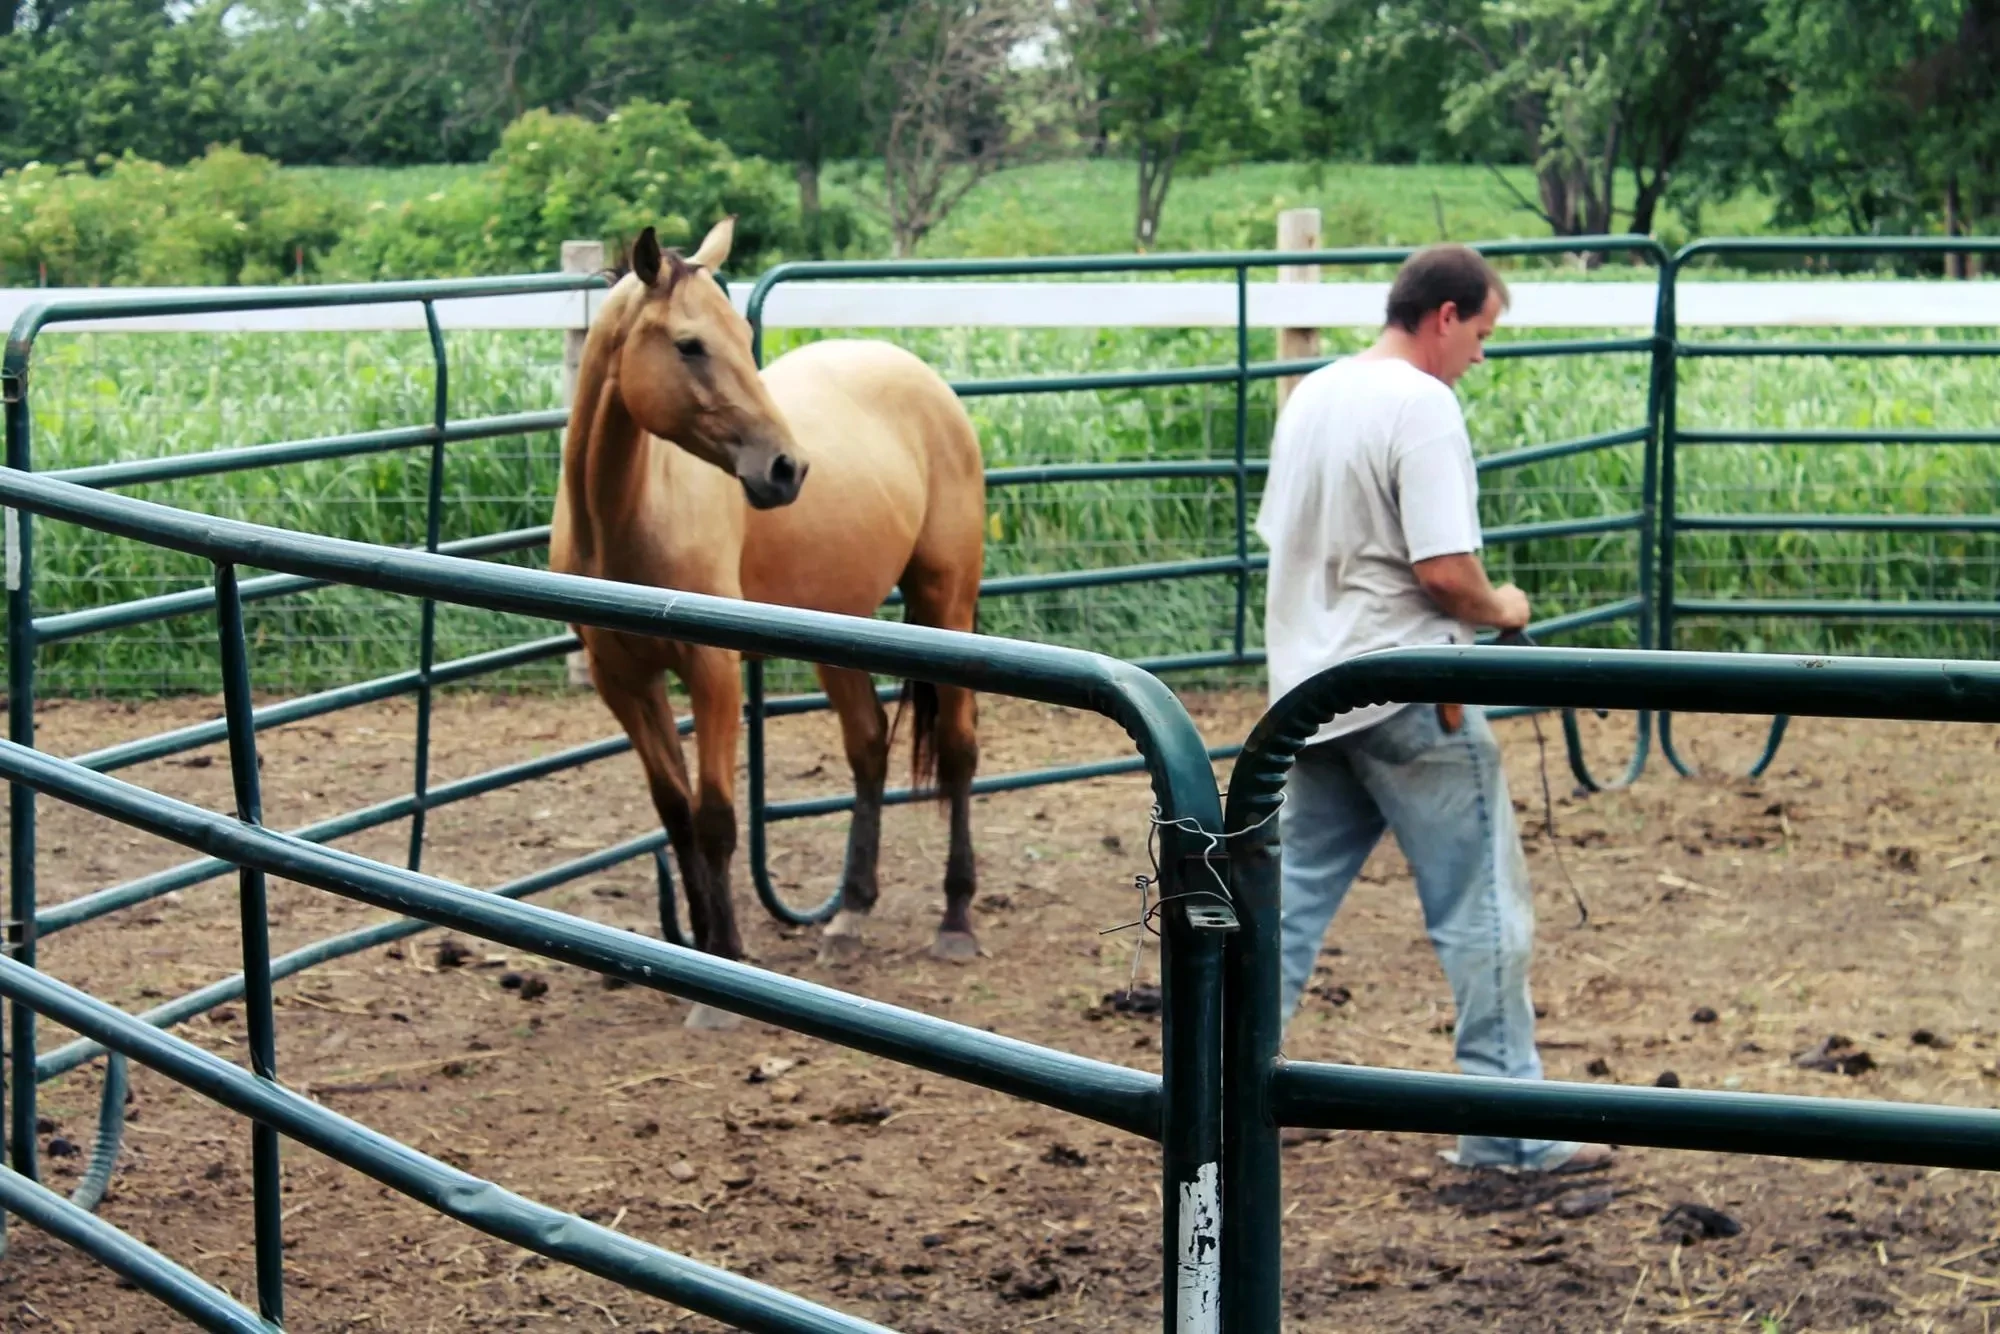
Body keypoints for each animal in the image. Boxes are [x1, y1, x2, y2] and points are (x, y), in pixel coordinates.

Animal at [549, 217, 986, 1027]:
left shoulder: (712, 669)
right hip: (837, 623)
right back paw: (849, 915)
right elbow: (676, 813)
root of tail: (918, 374)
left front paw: (723, 973)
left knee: (958, 749)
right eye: (690, 344)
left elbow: (718, 818)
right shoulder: (623, 680)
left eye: (743, 339)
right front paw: (696, 952)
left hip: (948, 603)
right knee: (868, 747)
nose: (786, 469)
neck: (628, 515)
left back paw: (956, 919)